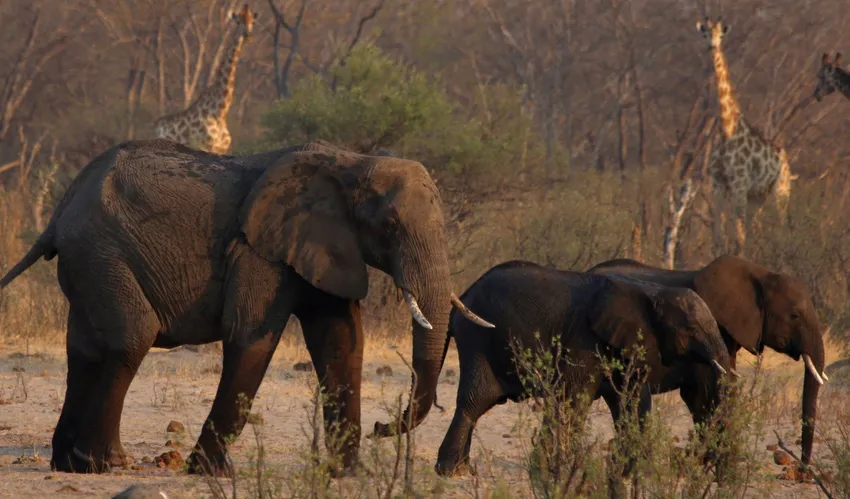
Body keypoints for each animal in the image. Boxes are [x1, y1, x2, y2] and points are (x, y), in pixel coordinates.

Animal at [0, 139, 490, 474]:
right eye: (389, 224)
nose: (380, 428)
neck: (351, 161)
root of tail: (60, 211)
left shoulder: (323, 246)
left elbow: (341, 344)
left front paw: (347, 475)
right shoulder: (260, 251)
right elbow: (253, 338)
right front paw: (210, 473)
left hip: (88, 261)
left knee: (83, 348)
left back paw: (68, 464)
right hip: (101, 252)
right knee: (131, 338)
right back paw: (108, 464)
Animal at [152, 4, 258, 154]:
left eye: (252, 22)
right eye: (238, 22)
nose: (248, 36)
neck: (220, 112)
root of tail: (156, 127)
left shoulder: (222, 150)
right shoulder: (207, 147)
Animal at [428, 262, 732, 476]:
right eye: (691, 329)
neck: (650, 291)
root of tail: (461, 296)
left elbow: (630, 402)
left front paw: (627, 470)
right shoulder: (584, 340)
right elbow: (573, 399)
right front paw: (555, 470)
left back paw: (461, 470)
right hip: (478, 339)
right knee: (474, 401)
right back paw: (451, 472)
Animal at [696, 17, 796, 256]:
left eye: (721, 35)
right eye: (705, 34)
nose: (713, 45)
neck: (726, 129)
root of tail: (787, 160)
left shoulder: (739, 183)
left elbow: (738, 236)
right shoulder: (718, 183)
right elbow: (719, 234)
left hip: (780, 192)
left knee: (779, 229)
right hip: (757, 197)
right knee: (754, 227)